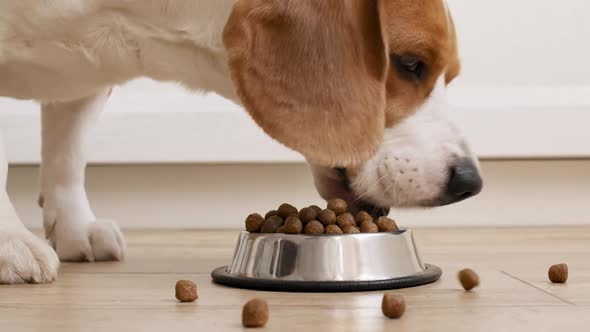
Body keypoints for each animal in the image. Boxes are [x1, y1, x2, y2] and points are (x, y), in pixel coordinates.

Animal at [0, 0, 480, 286]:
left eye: (450, 75)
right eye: (410, 64)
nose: (470, 183)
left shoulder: (87, 81)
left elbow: (68, 153)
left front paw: (75, 228)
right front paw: (10, 243)